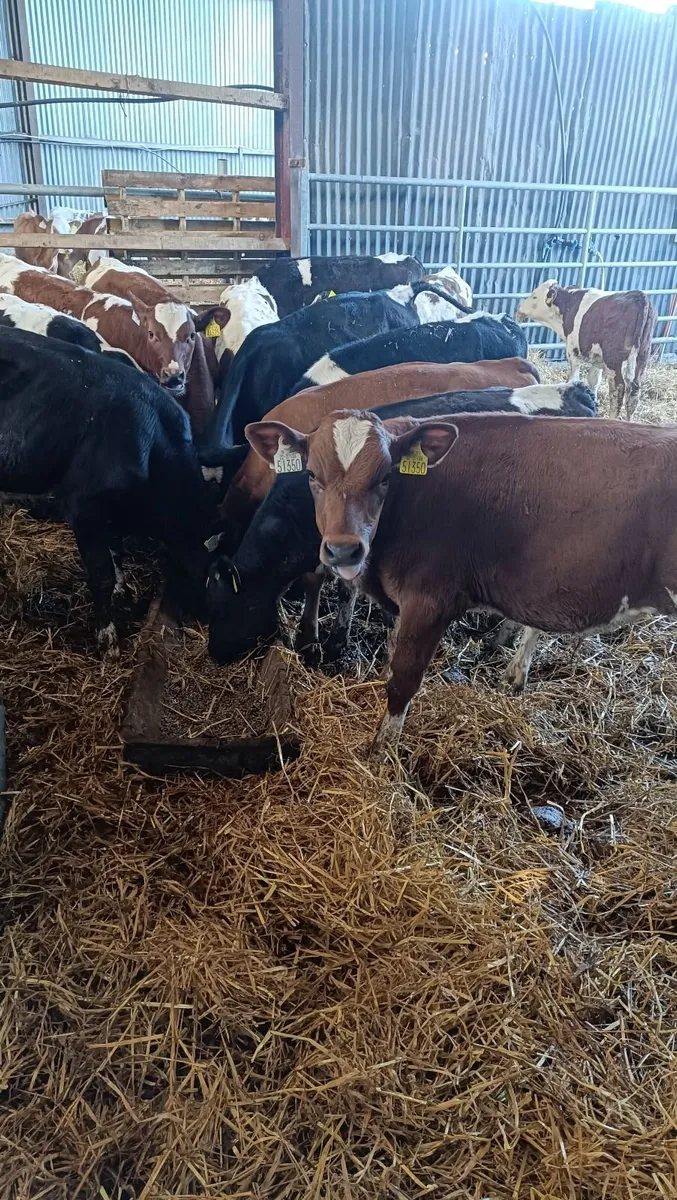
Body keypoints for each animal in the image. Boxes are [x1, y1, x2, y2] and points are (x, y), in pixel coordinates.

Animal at [0, 328, 210, 656]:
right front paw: (107, 637)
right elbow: (101, 575)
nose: (204, 618)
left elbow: (117, 552)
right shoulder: (84, 508)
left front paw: (123, 591)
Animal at [207, 381, 597, 668]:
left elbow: (341, 588)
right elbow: (318, 582)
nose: (213, 653)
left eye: (228, 607)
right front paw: (314, 637)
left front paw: (329, 640)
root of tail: (573, 391)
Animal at [241, 408, 677, 751]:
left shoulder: (431, 600)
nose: (343, 550)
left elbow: (403, 679)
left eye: (384, 477)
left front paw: (381, 753)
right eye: (311, 474)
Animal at [515, 281, 657, 419]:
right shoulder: (597, 360)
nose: (519, 308)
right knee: (634, 393)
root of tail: (641, 297)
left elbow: (574, 377)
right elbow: (593, 381)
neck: (568, 305)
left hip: (613, 361)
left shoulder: (573, 351)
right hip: (642, 358)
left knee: (618, 390)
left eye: (534, 296)